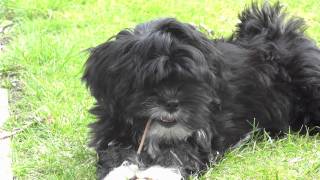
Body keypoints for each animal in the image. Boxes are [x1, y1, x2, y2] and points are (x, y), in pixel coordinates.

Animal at [83, 2, 320, 179]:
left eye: (189, 78)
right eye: (146, 80)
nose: (171, 103)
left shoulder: (205, 131)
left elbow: (180, 153)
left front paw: (158, 172)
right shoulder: (112, 129)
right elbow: (115, 152)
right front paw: (118, 172)